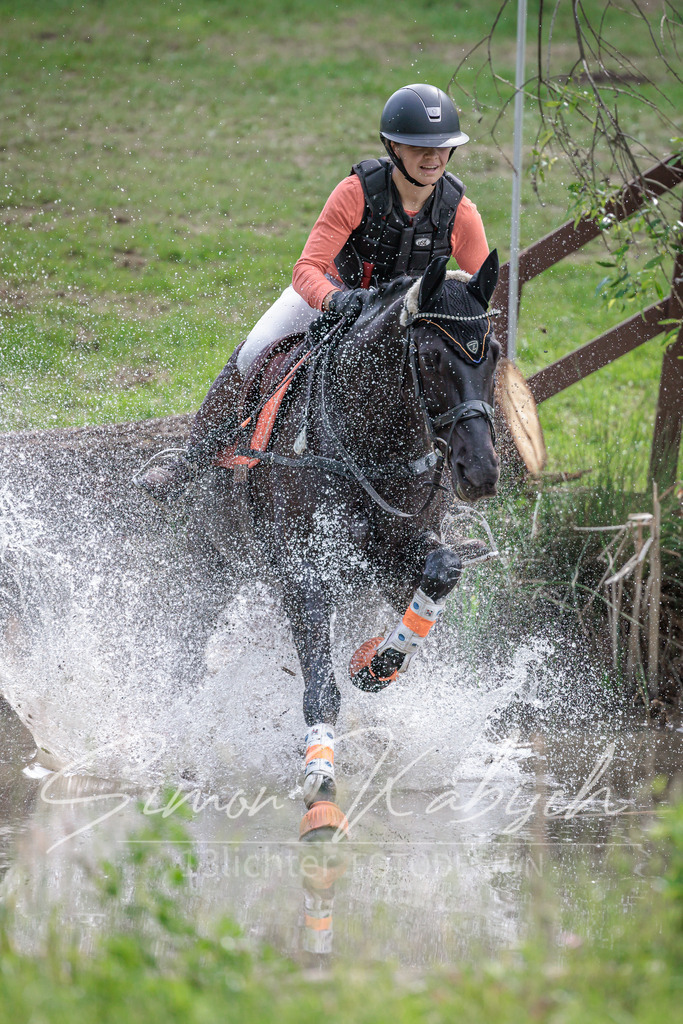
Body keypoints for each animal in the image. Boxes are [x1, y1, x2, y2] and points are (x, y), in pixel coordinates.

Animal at [190, 251, 501, 838]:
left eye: (492, 354)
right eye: (430, 356)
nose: (480, 472)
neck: (371, 443)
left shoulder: (393, 554)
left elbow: (440, 573)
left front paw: (376, 664)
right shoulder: (304, 572)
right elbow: (320, 686)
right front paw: (320, 779)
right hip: (215, 561)